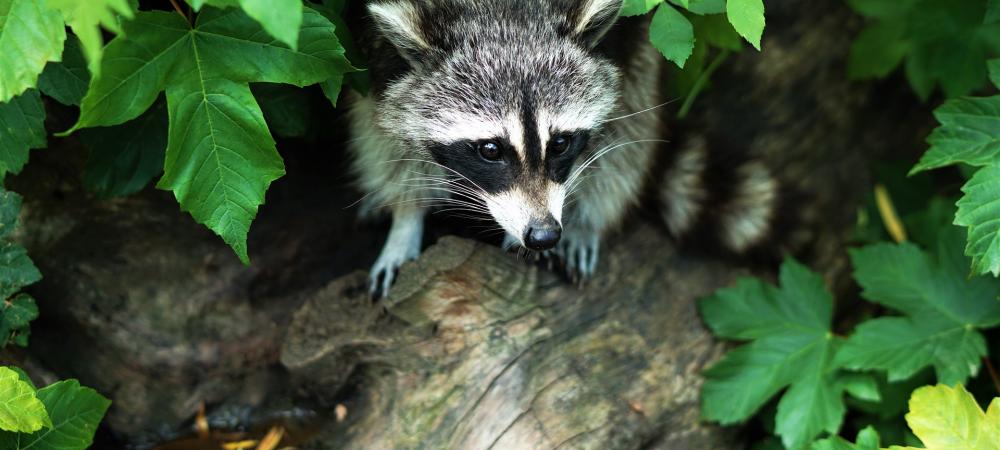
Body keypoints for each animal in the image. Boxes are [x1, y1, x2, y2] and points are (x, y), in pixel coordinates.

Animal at [350, 0, 780, 298]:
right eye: (490, 150)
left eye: (560, 144)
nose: (543, 235)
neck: (499, 17)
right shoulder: (376, 53)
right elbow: (383, 133)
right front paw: (406, 218)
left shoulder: (623, 37)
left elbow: (620, 122)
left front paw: (581, 216)